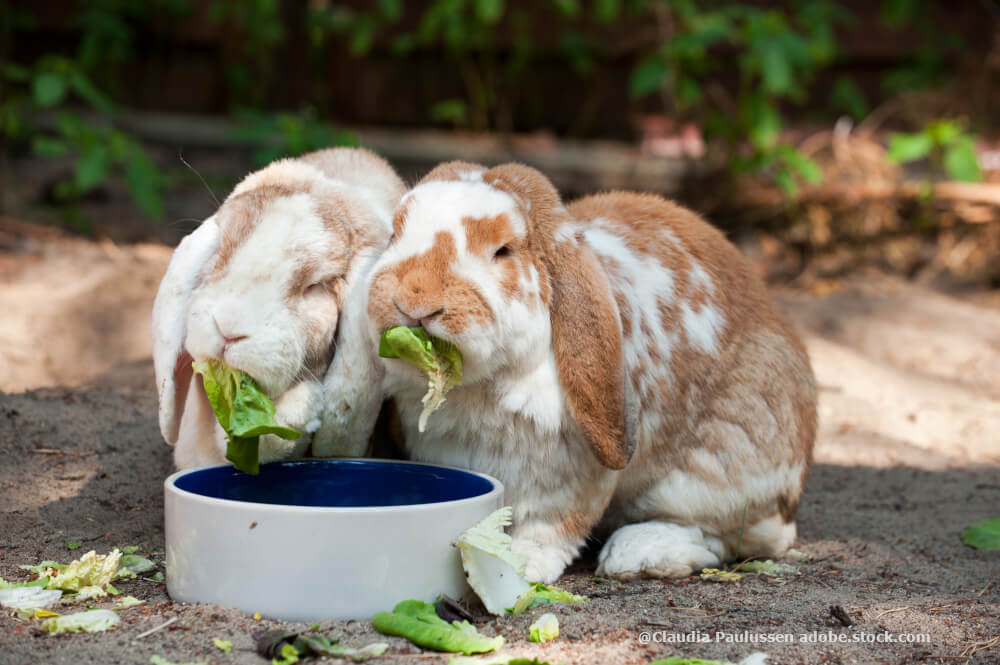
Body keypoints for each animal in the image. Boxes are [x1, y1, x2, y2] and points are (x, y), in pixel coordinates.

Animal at [316, 161, 816, 580]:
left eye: (503, 250)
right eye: (396, 234)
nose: (415, 299)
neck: (478, 386)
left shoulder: (568, 477)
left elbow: (551, 525)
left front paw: (519, 566)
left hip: (717, 469)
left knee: (741, 536)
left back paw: (638, 555)